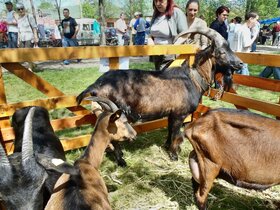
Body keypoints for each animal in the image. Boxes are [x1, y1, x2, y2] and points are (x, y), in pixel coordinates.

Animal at [76, 25, 243, 164]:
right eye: (222, 52)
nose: (240, 63)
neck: (193, 78)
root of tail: (95, 85)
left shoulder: (171, 114)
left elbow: (170, 132)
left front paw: (167, 147)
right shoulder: (179, 114)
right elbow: (176, 134)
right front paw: (174, 156)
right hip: (112, 113)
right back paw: (121, 161)